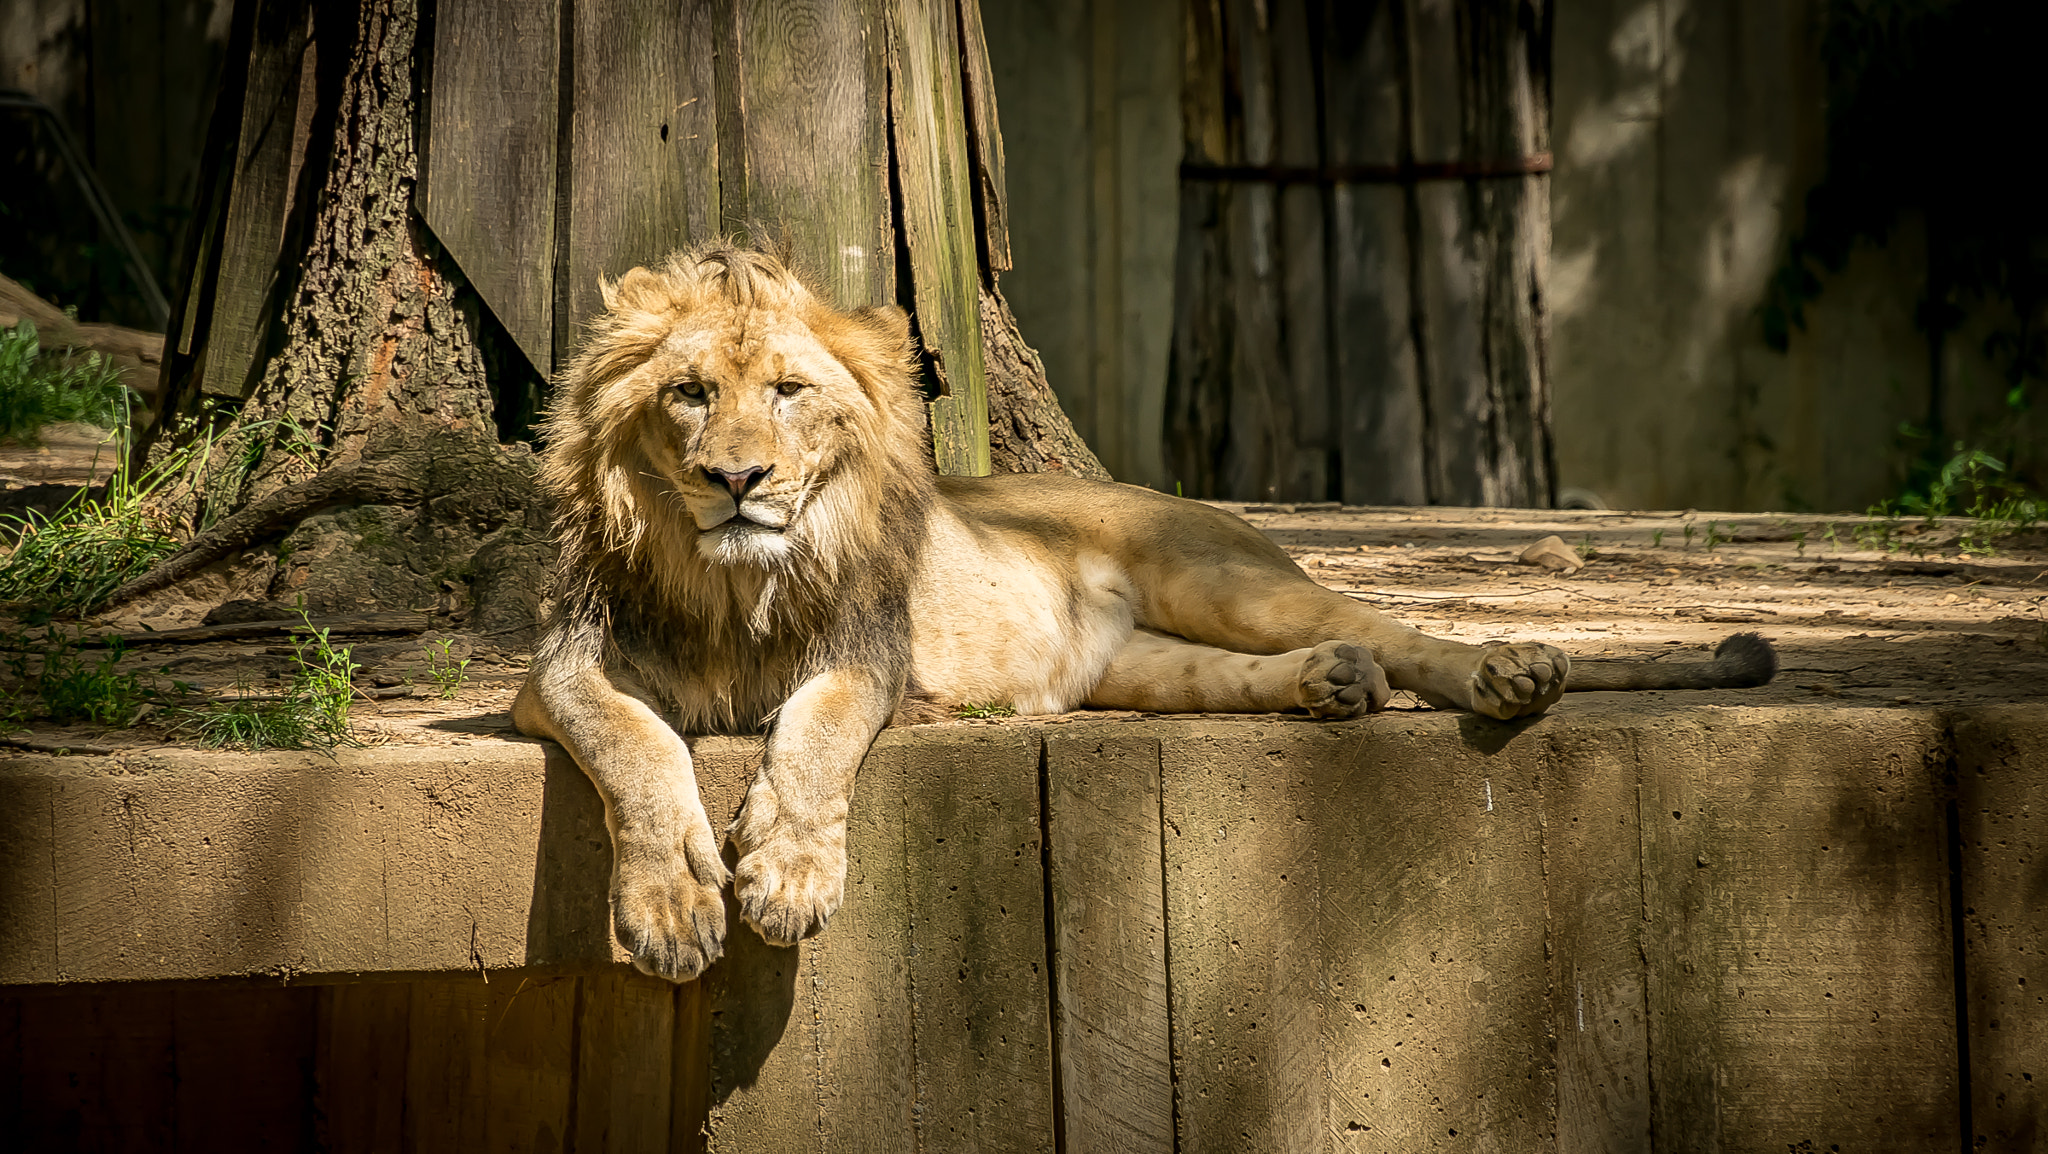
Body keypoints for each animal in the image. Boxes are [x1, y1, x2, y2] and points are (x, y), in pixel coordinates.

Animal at [513, 244, 1776, 982]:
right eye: (689, 394)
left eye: (787, 392)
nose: (737, 479)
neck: (731, 578)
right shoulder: (562, 669)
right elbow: (635, 746)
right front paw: (673, 906)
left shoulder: (869, 657)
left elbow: (814, 737)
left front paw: (783, 877)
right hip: (1141, 663)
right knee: (1285, 661)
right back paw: (1335, 681)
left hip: (1222, 577)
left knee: (1403, 627)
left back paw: (1508, 673)